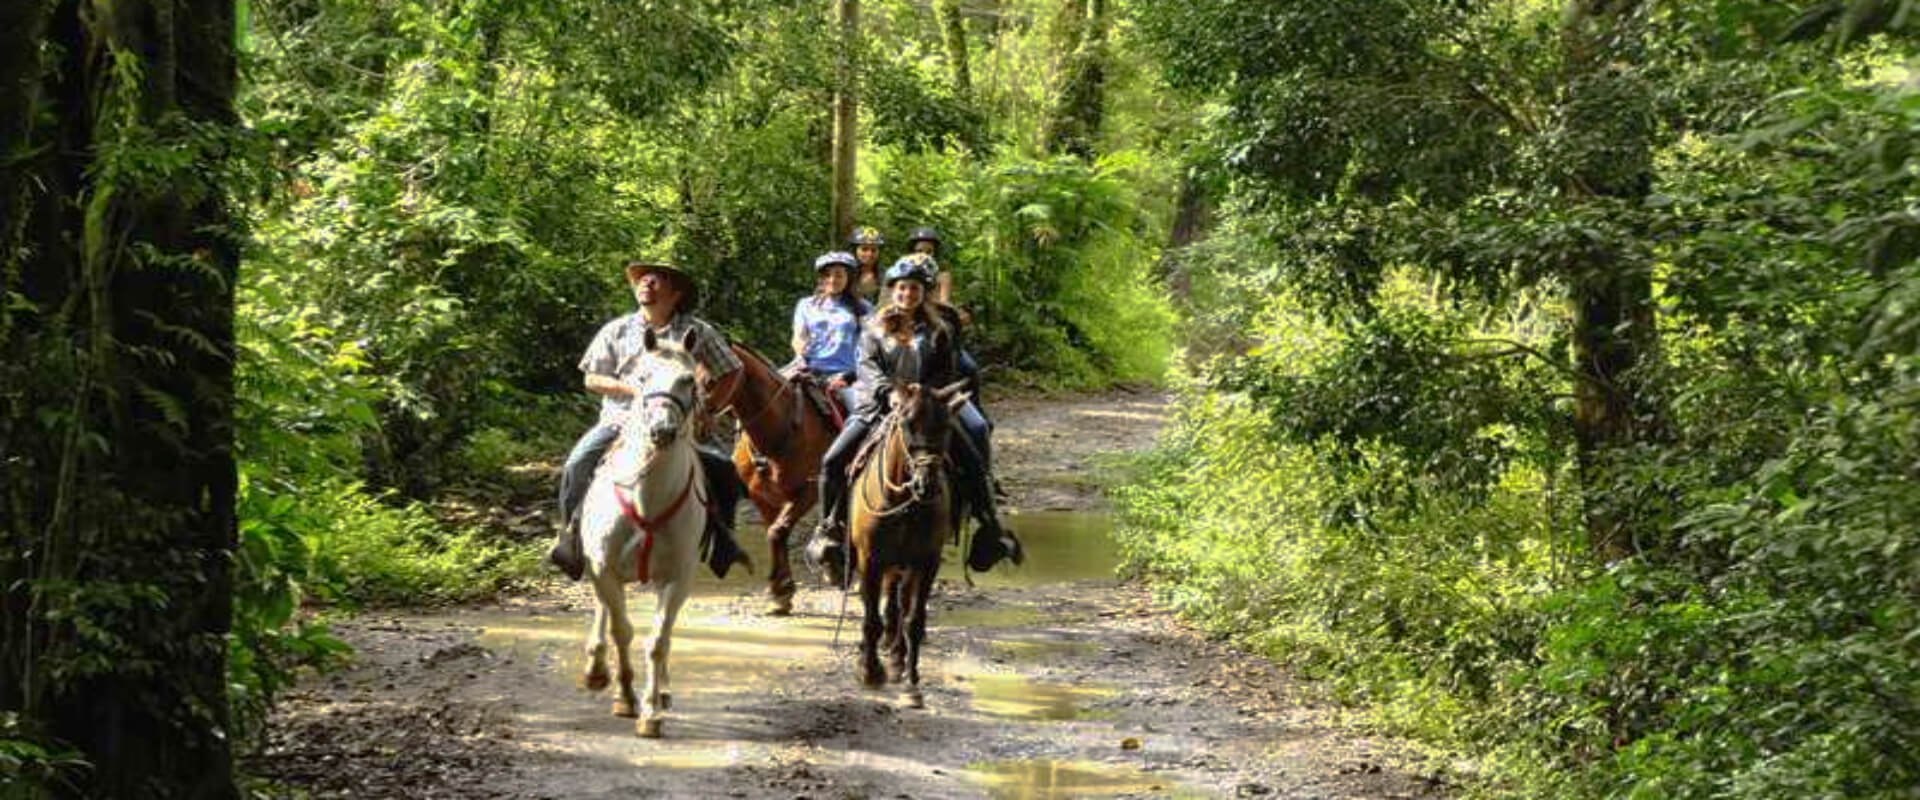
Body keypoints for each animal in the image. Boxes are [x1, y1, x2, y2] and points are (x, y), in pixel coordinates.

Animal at [583, 324, 714, 736]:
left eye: (689, 380)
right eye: (641, 377)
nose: (662, 431)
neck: (647, 499)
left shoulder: (676, 578)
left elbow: (658, 641)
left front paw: (651, 712)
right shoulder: (605, 568)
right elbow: (622, 630)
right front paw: (625, 698)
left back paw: (664, 692)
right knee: (603, 611)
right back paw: (595, 669)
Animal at [698, 341, 833, 610]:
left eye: (710, 380)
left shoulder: (808, 491)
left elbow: (777, 531)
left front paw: (781, 589)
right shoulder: (762, 496)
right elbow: (774, 533)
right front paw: (781, 590)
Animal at [848, 377, 967, 705]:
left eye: (946, 425)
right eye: (907, 424)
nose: (926, 484)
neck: (903, 502)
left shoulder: (926, 562)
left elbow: (913, 619)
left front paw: (912, 683)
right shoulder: (870, 560)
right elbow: (871, 619)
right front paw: (870, 672)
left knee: (899, 605)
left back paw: (897, 658)